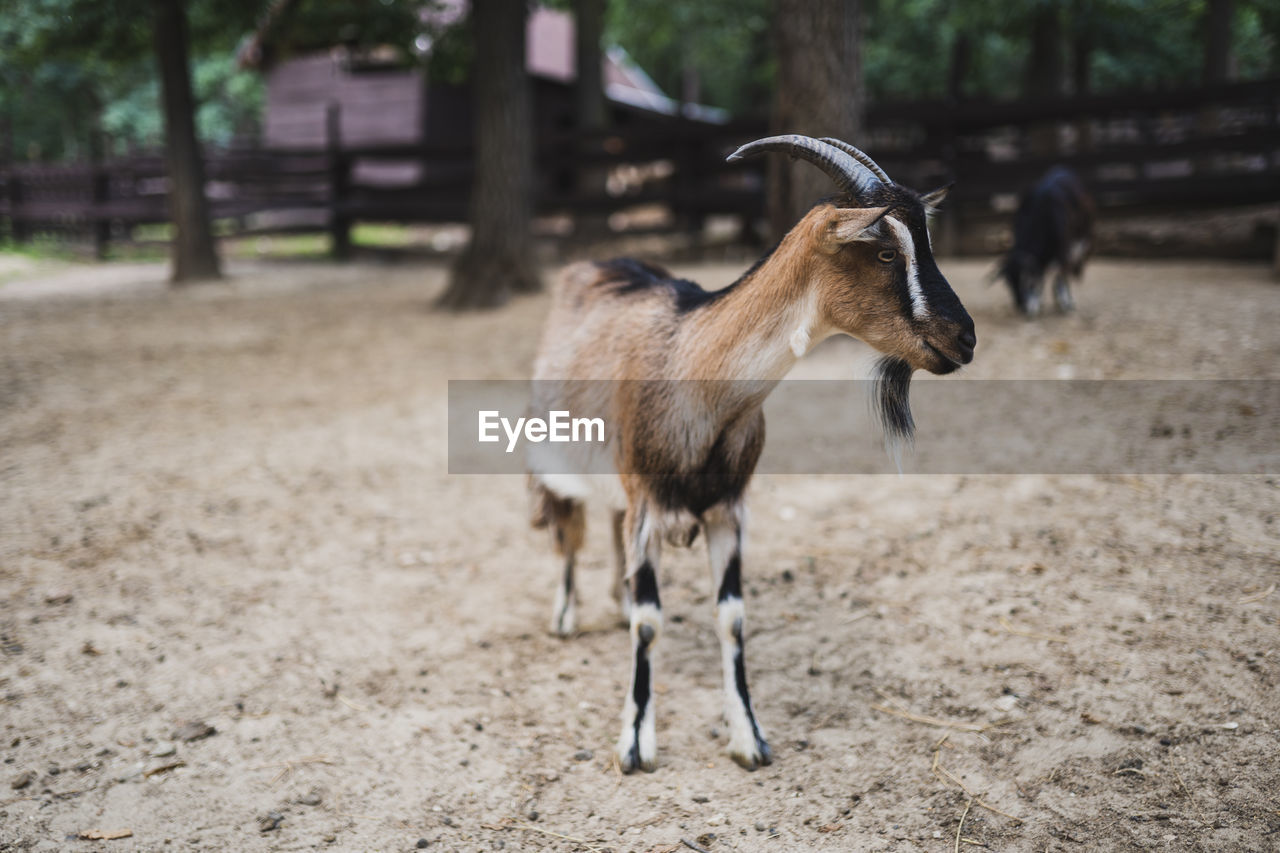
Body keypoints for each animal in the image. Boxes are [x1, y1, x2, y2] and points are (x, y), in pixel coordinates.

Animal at [524, 133, 972, 768]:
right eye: (887, 254)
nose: (966, 338)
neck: (693, 368)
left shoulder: (729, 510)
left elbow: (732, 618)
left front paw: (749, 739)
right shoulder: (649, 506)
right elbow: (649, 623)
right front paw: (635, 742)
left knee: (608, 526)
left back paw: (615, 597)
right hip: (557, 454)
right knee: (568, 529)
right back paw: (566, 615)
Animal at [993, 163, 1095, 313]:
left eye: (1028, 281)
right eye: (1008, 283)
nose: (1021, 306)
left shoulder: (1063, 251)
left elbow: (1061, 275)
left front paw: (1066, 302)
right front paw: (1037, 303)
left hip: (1082, 238)